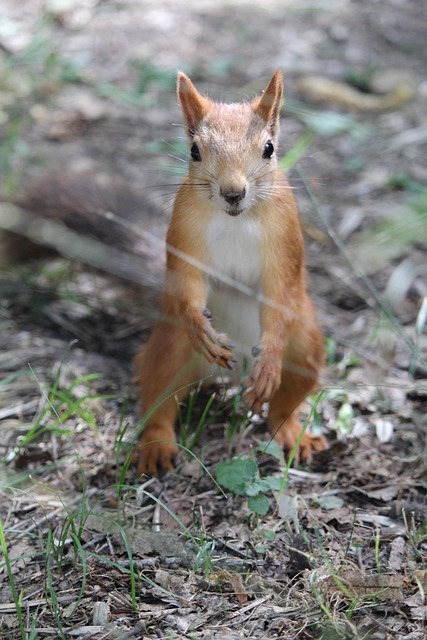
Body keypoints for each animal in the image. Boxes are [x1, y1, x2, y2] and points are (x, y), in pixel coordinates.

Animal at [134, 70, 328, 478]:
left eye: (269, 148)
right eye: (195, 150)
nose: (233, 192)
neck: (237, 219)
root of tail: (230, 378)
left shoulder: (286, 240)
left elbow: (281, 292)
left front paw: (270, 359)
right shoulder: (184, 232)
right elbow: (186, 282)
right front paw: (200, 326)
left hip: (305, 347)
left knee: (283, 406)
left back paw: (292, 432)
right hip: (170, 346)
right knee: (158, 395)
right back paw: (156, 445)